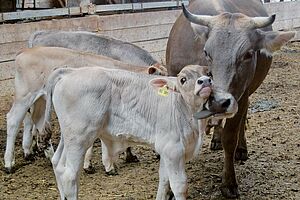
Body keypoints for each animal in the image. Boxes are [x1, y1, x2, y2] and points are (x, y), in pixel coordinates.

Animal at [4, 46, 168, 173]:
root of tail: (25, 51)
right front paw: (107, 165)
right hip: (24, 96)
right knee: (13, 120)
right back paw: (8, 163)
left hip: (41, 100)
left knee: (38, 121)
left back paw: (50, 156)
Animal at [39, 65, 237, 199]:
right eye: (183, 79)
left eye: (209, 73)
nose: (205, 81)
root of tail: (70, 71)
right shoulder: (173, 150)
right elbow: (179, 186)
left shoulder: (165, 151)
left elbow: (164, 180)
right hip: (80, 137)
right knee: (70, 175)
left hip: (69, 136)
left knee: (58, 163)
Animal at [164, 0, 296, 198]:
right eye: (206, 52)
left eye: (248, 54)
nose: (219, 102)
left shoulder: (240, 97)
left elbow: (230, 137)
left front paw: (229, 183)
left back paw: (241, 149)